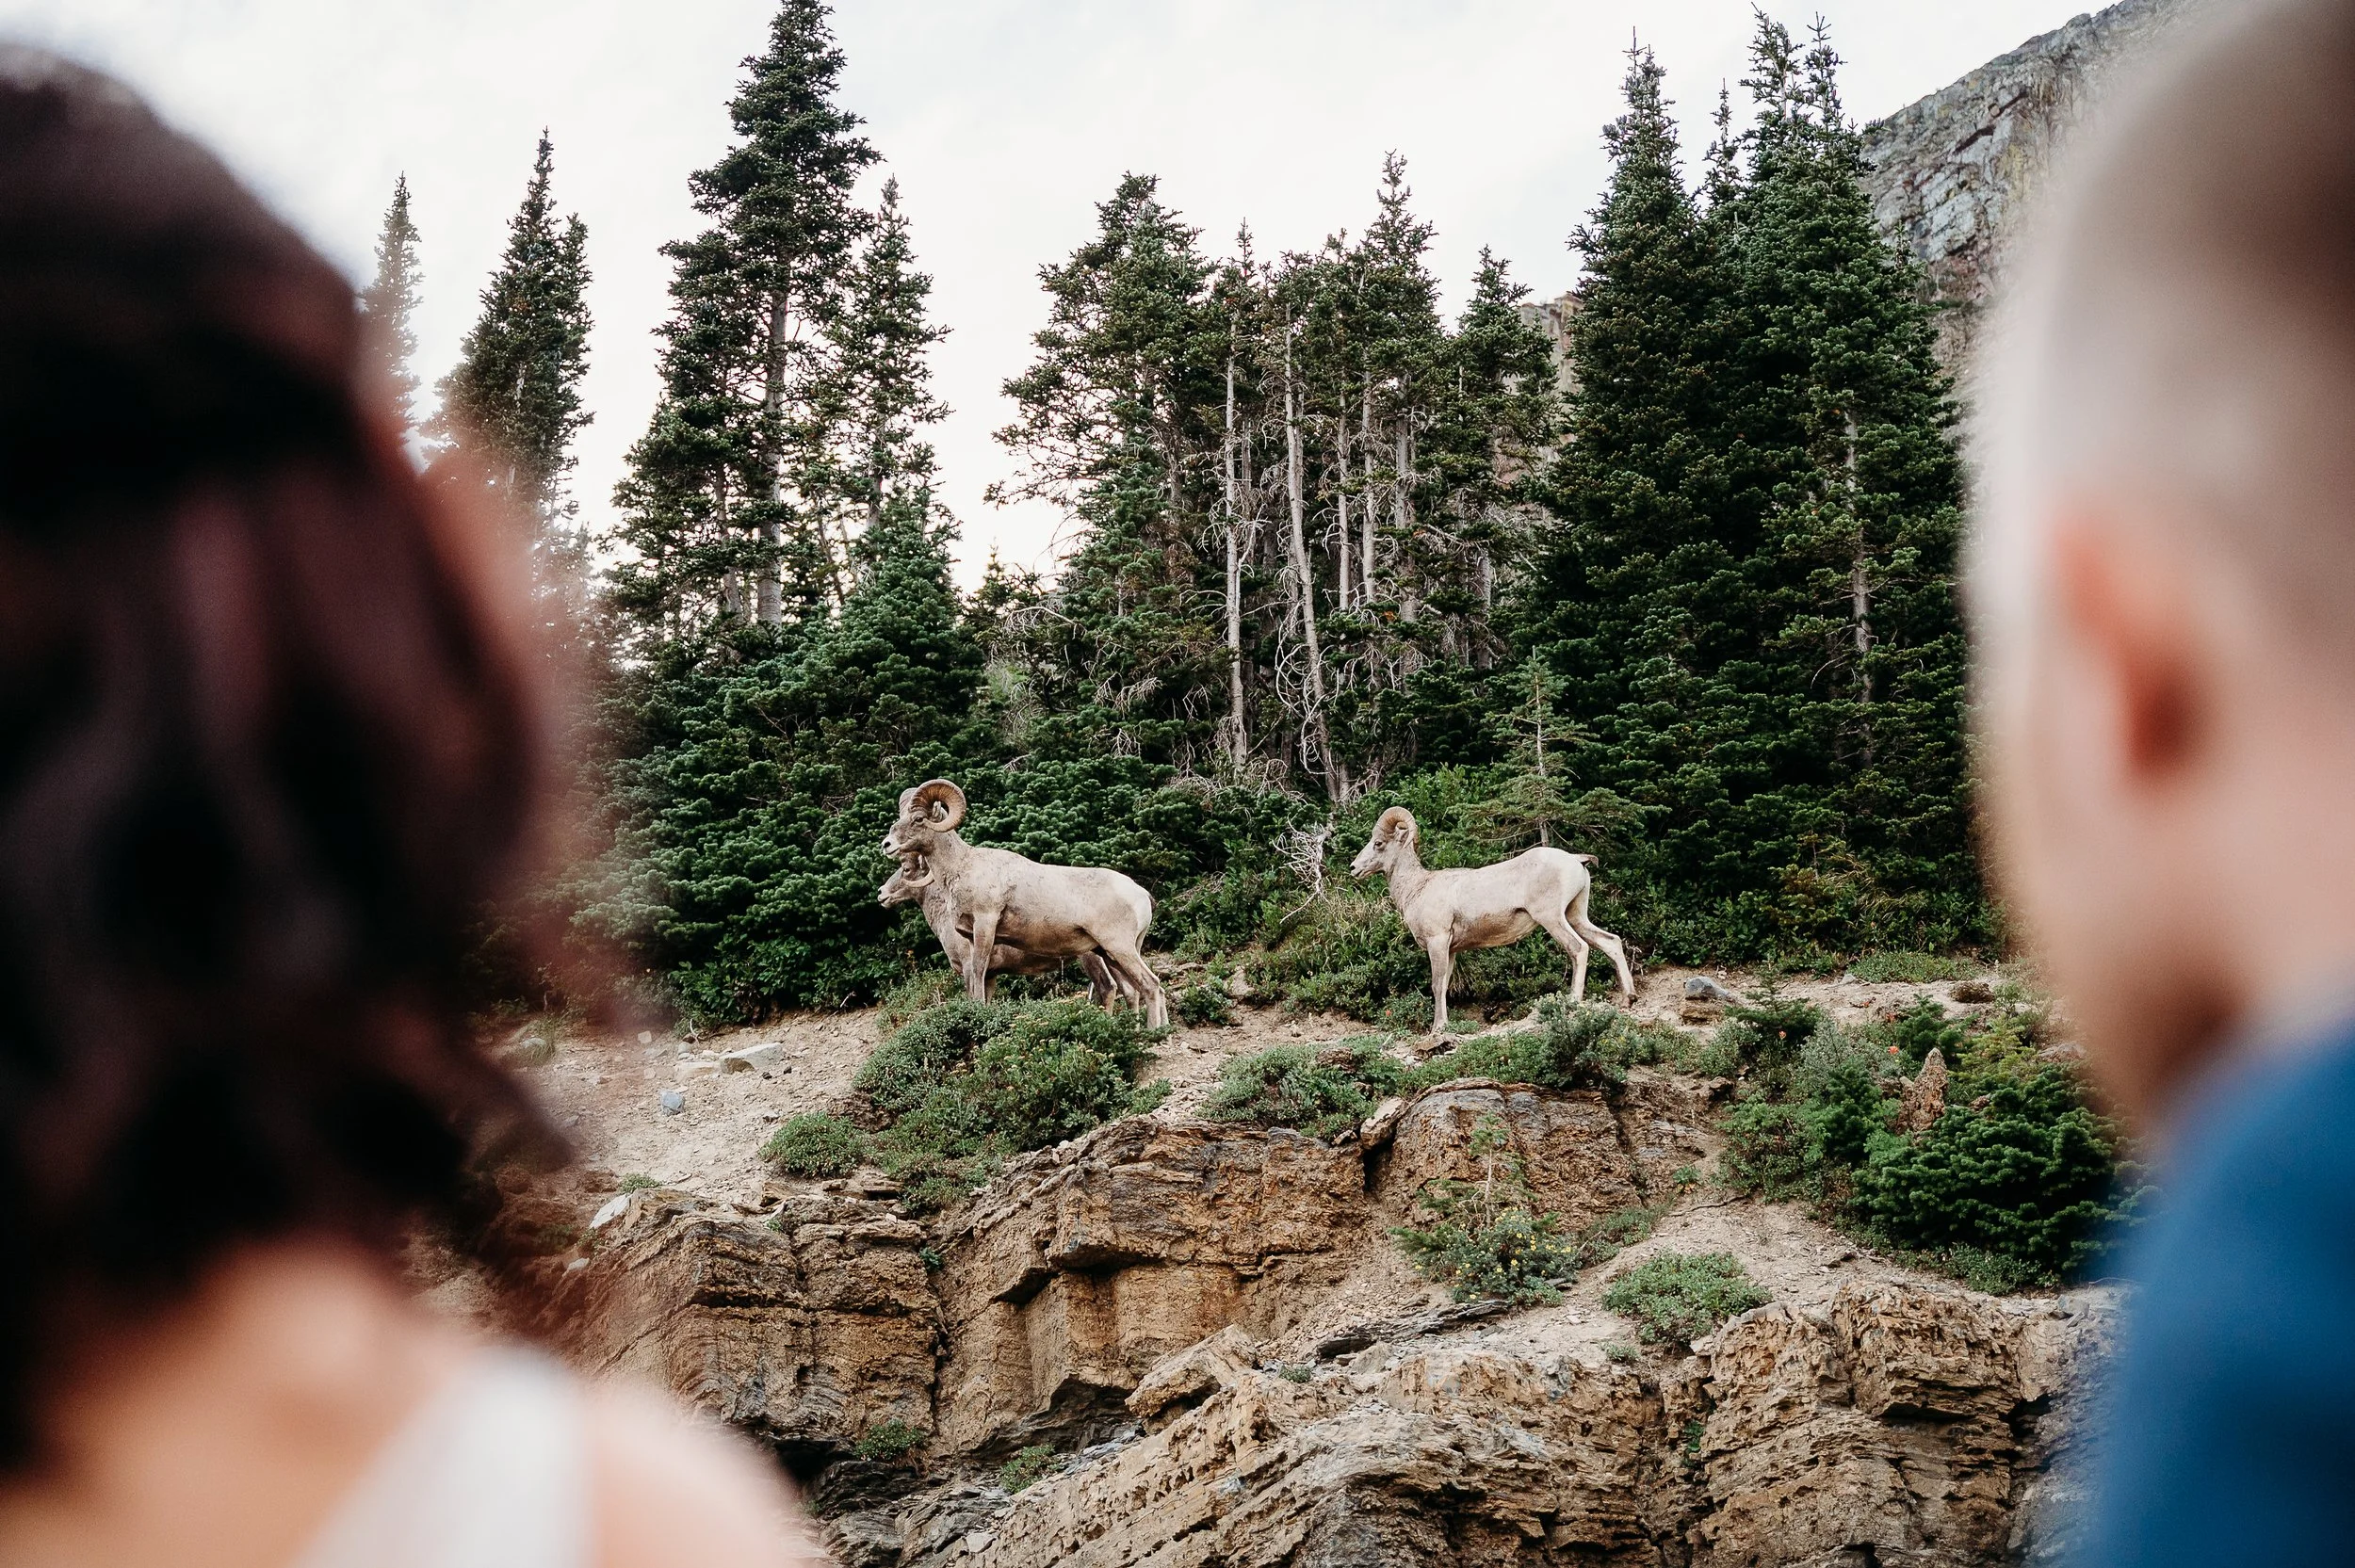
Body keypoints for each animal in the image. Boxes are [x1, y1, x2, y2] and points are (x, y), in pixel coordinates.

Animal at [880, 851, 1120, 1006]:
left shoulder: (969, 967)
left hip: (1090, 956)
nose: (881, 893)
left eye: (906, 869)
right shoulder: (990, 976)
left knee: (1107, 987)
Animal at [1349, 806, 1634, 1034]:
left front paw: (1438, 1028)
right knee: (1610, 942)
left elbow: (1437, 985)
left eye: (1378, 843)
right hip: (1576, 916)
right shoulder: (1451, 950)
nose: (1353, 868)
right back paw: (1628, 998)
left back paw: (1573, 1000)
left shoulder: (1437, 942)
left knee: (1579, 948)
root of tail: (1575, 860)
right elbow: (1445, 985)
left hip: (1552, 918)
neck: (1416, 888)